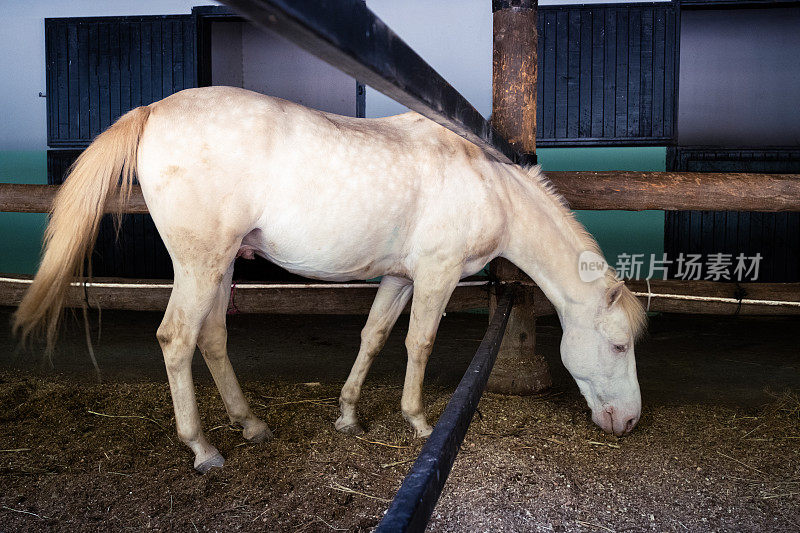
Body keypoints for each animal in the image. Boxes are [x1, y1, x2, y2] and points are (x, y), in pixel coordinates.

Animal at [15, 86, 648, 470]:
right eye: (618, 345)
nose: (629, 422)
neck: (488, 182)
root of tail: (154, 111)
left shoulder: (400, 279)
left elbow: (374, 336)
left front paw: (348, 415)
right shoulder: (437, 276)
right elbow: (419, 343)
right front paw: (418, 421)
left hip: (222, 266)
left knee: (213, 337)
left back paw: (251, 425)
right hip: (199, 263)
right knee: (176, 338)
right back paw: (203, 448)